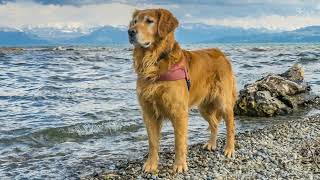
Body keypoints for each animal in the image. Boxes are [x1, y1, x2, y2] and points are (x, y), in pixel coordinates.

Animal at [128, 8, 238, 173]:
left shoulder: (178, 111)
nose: (130, 32)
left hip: (223, 101)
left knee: (230, 125)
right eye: (135, 22)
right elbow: (152, 142)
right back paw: (211, 144)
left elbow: (179, 141)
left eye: (149, 21)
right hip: (203, 107)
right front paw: (151, 164)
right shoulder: (148, 112)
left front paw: (179, 165)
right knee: (214, 124)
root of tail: (221, 54)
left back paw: (229, 149)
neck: (155, 60)